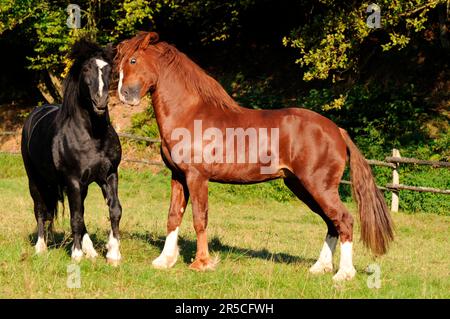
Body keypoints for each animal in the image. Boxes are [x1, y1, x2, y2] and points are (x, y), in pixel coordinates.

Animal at [21, 39, 123, 264]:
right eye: (86, 69)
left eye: (109, 69)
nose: (100, 101)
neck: (93, 135)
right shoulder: (73, 180)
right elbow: (75, 218)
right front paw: (76, 255)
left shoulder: (109, 175)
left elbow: (114, 210)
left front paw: (113, 254)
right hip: (36, 181)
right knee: (41, 211)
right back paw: (41, 247)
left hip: (77, 186)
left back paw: (91, 251)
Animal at [116, 31, 394, 282]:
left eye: (133, 60)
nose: (124, 95)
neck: (191, 113)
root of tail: (337, 130)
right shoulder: (178, 176)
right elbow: (174, 216)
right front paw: (164, 260)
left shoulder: (197, 177)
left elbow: (199, 218)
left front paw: (201, 263)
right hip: (302, 186)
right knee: (331, 223)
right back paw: (319, 268)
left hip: (319, 187)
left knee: (344, 220)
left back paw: (344, 274)